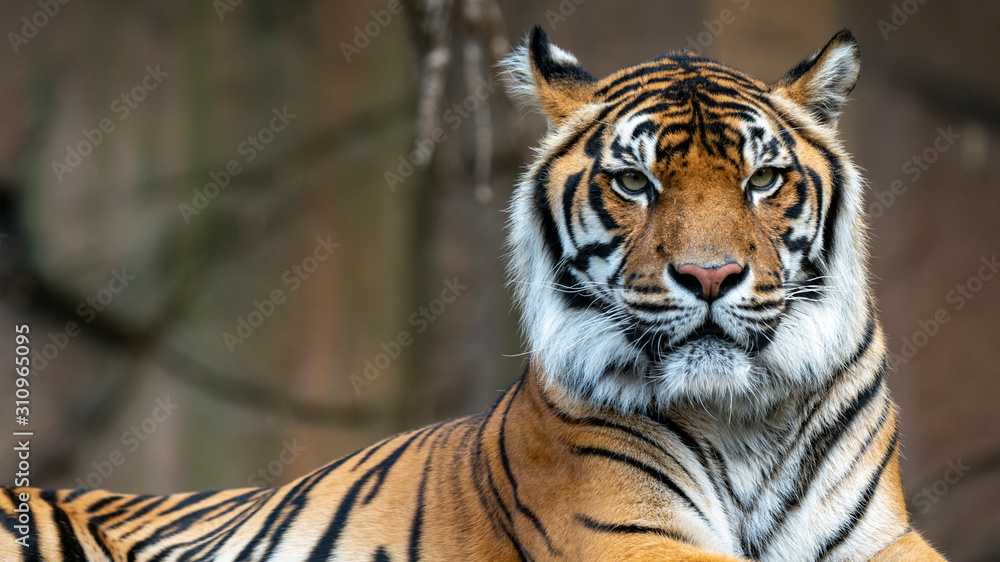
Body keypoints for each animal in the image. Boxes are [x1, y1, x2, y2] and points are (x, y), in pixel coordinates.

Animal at [1, 25, 947, 561]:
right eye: (634, 182)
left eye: (763, 179)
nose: (710, 277)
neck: (740, 416)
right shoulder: (627, 532)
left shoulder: (884, 537)